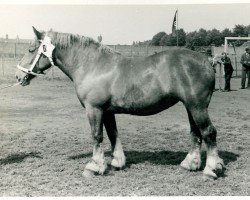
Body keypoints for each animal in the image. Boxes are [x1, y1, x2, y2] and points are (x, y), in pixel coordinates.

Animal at [15, 27, 225, 179]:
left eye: (31, 49)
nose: (18, 76)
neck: (93, 65)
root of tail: (207, 60)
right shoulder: (108, 111)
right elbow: (113, 134)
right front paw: (117, 162)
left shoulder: (94, 109)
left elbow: (97, 136)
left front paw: (94, 166)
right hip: (190, 107)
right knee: (196, 133)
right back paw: (190, 164)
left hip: (197, 106)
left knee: (208, 132)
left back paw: (211, 169)